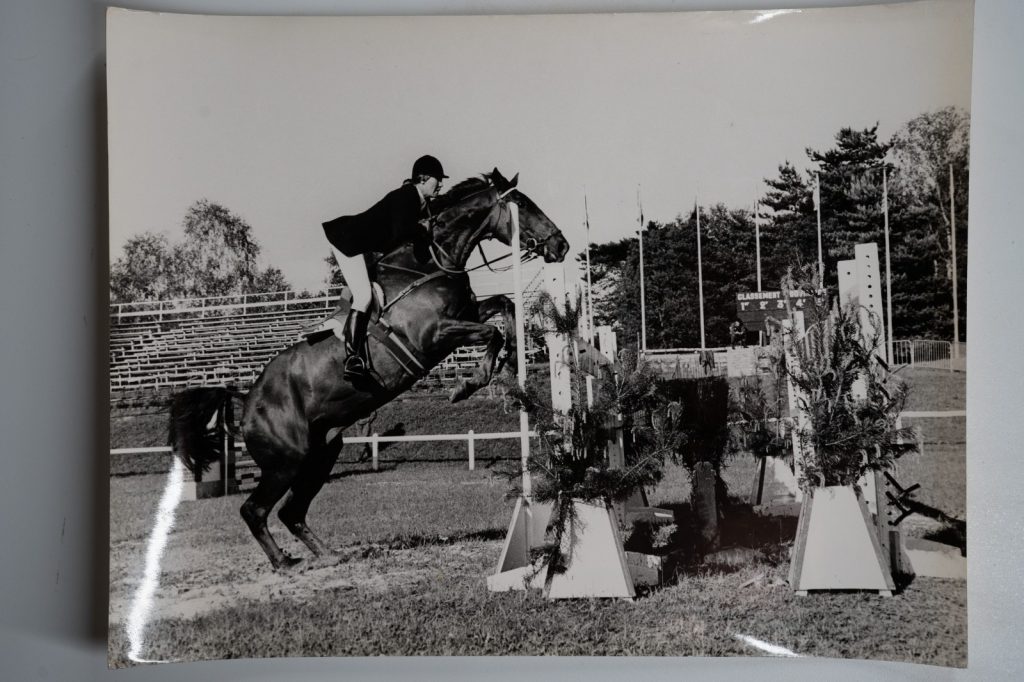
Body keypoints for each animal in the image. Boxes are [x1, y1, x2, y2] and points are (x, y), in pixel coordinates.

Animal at [169, 169, 569, 569]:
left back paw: (328, 555)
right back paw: (283, 562)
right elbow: (491, 331)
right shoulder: (434, 334)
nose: (561, 246)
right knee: (255, 510)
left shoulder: (465, 315)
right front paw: (468, 384)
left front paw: (511, 360)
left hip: (321, 454)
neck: (432, 261)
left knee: (291, 512)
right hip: (286, 463)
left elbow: (505, 307)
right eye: (522, 204)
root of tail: (246, 398)